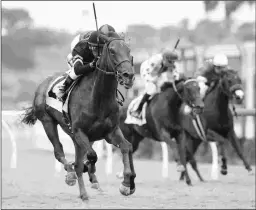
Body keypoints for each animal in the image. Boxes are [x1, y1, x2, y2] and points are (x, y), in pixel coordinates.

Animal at [20, 32, 136, 201]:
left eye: (128, 50)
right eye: (112, 51)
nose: (128, 75)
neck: (98, 97)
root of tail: (43, 84)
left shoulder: (110, 131)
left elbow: (126, 147)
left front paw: (126, 184)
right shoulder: (79, 131)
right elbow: (91, 156)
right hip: (48, 121)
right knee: (59, 151)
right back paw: (72, 176)